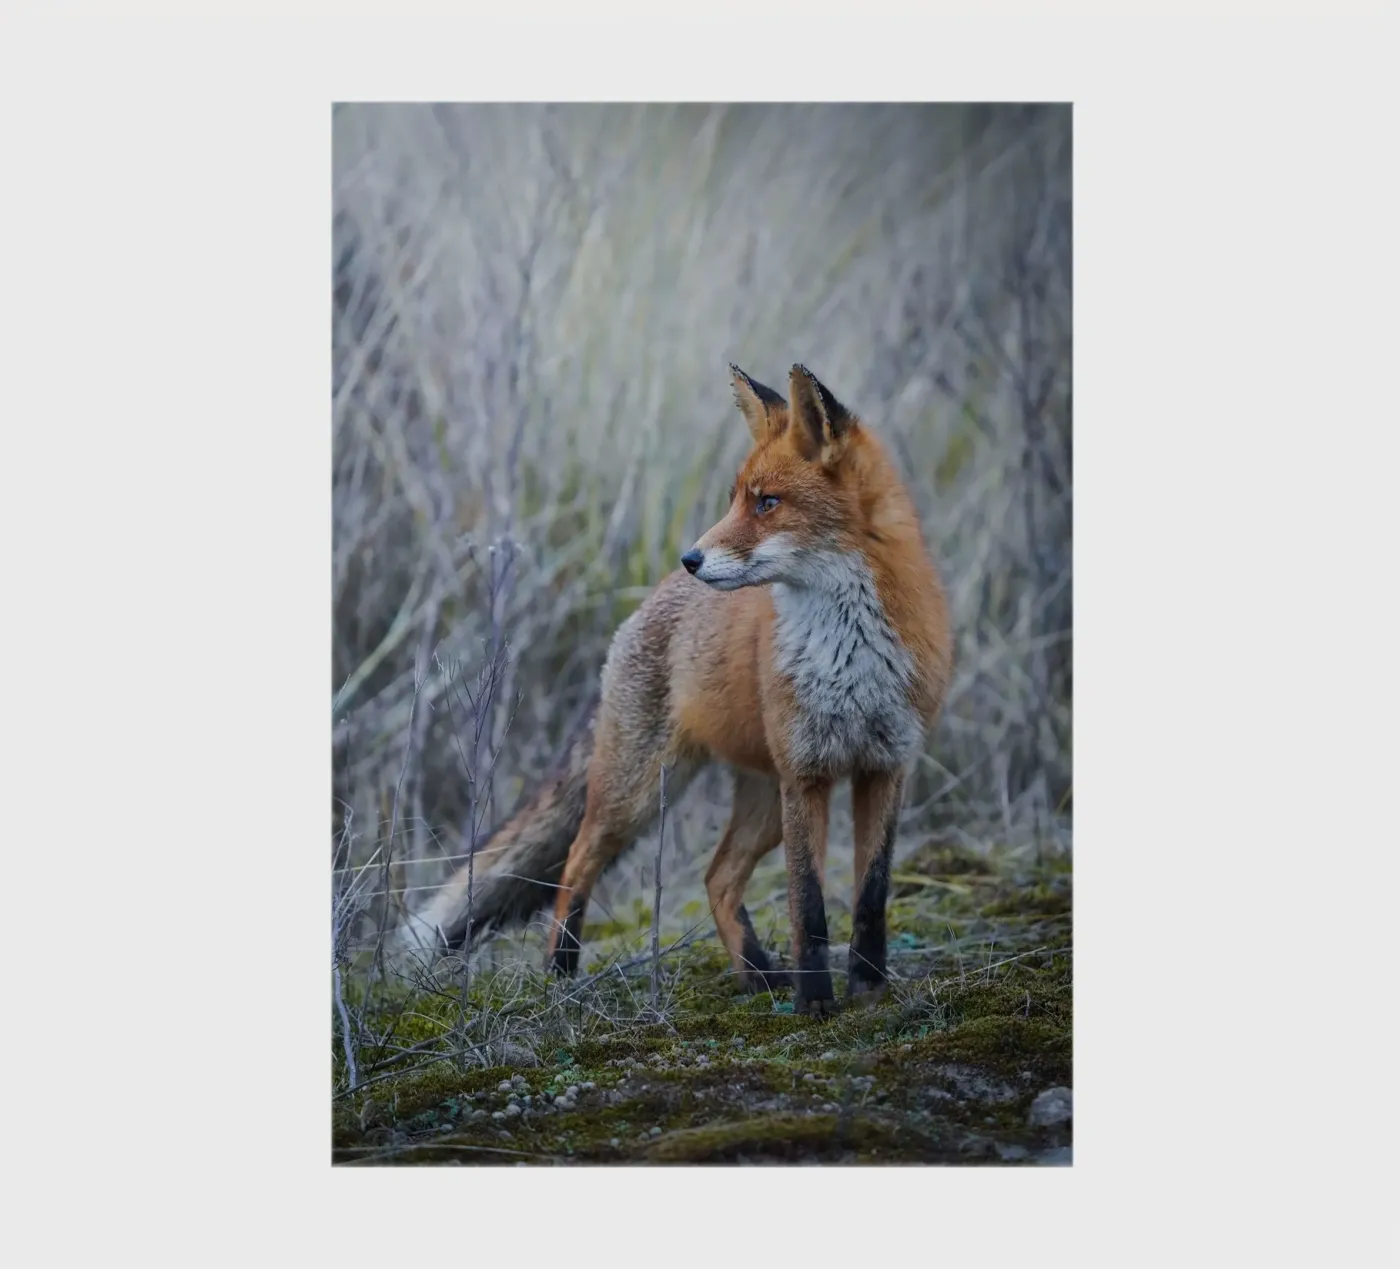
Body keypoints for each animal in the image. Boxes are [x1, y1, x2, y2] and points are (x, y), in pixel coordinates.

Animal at [406, 364, 952, 1015]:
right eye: (736, 498)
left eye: (768, 502)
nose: (692, 557)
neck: (850, 654)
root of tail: (648, 602)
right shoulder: (807, 775)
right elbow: (810, 907)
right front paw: (816, 1004)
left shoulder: (884, 766)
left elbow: (870, 896)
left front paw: (868, 993)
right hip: (639, 792)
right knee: (576, 862)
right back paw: (560, 973)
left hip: (763, 802)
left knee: (717, 877)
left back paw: (756, 975)